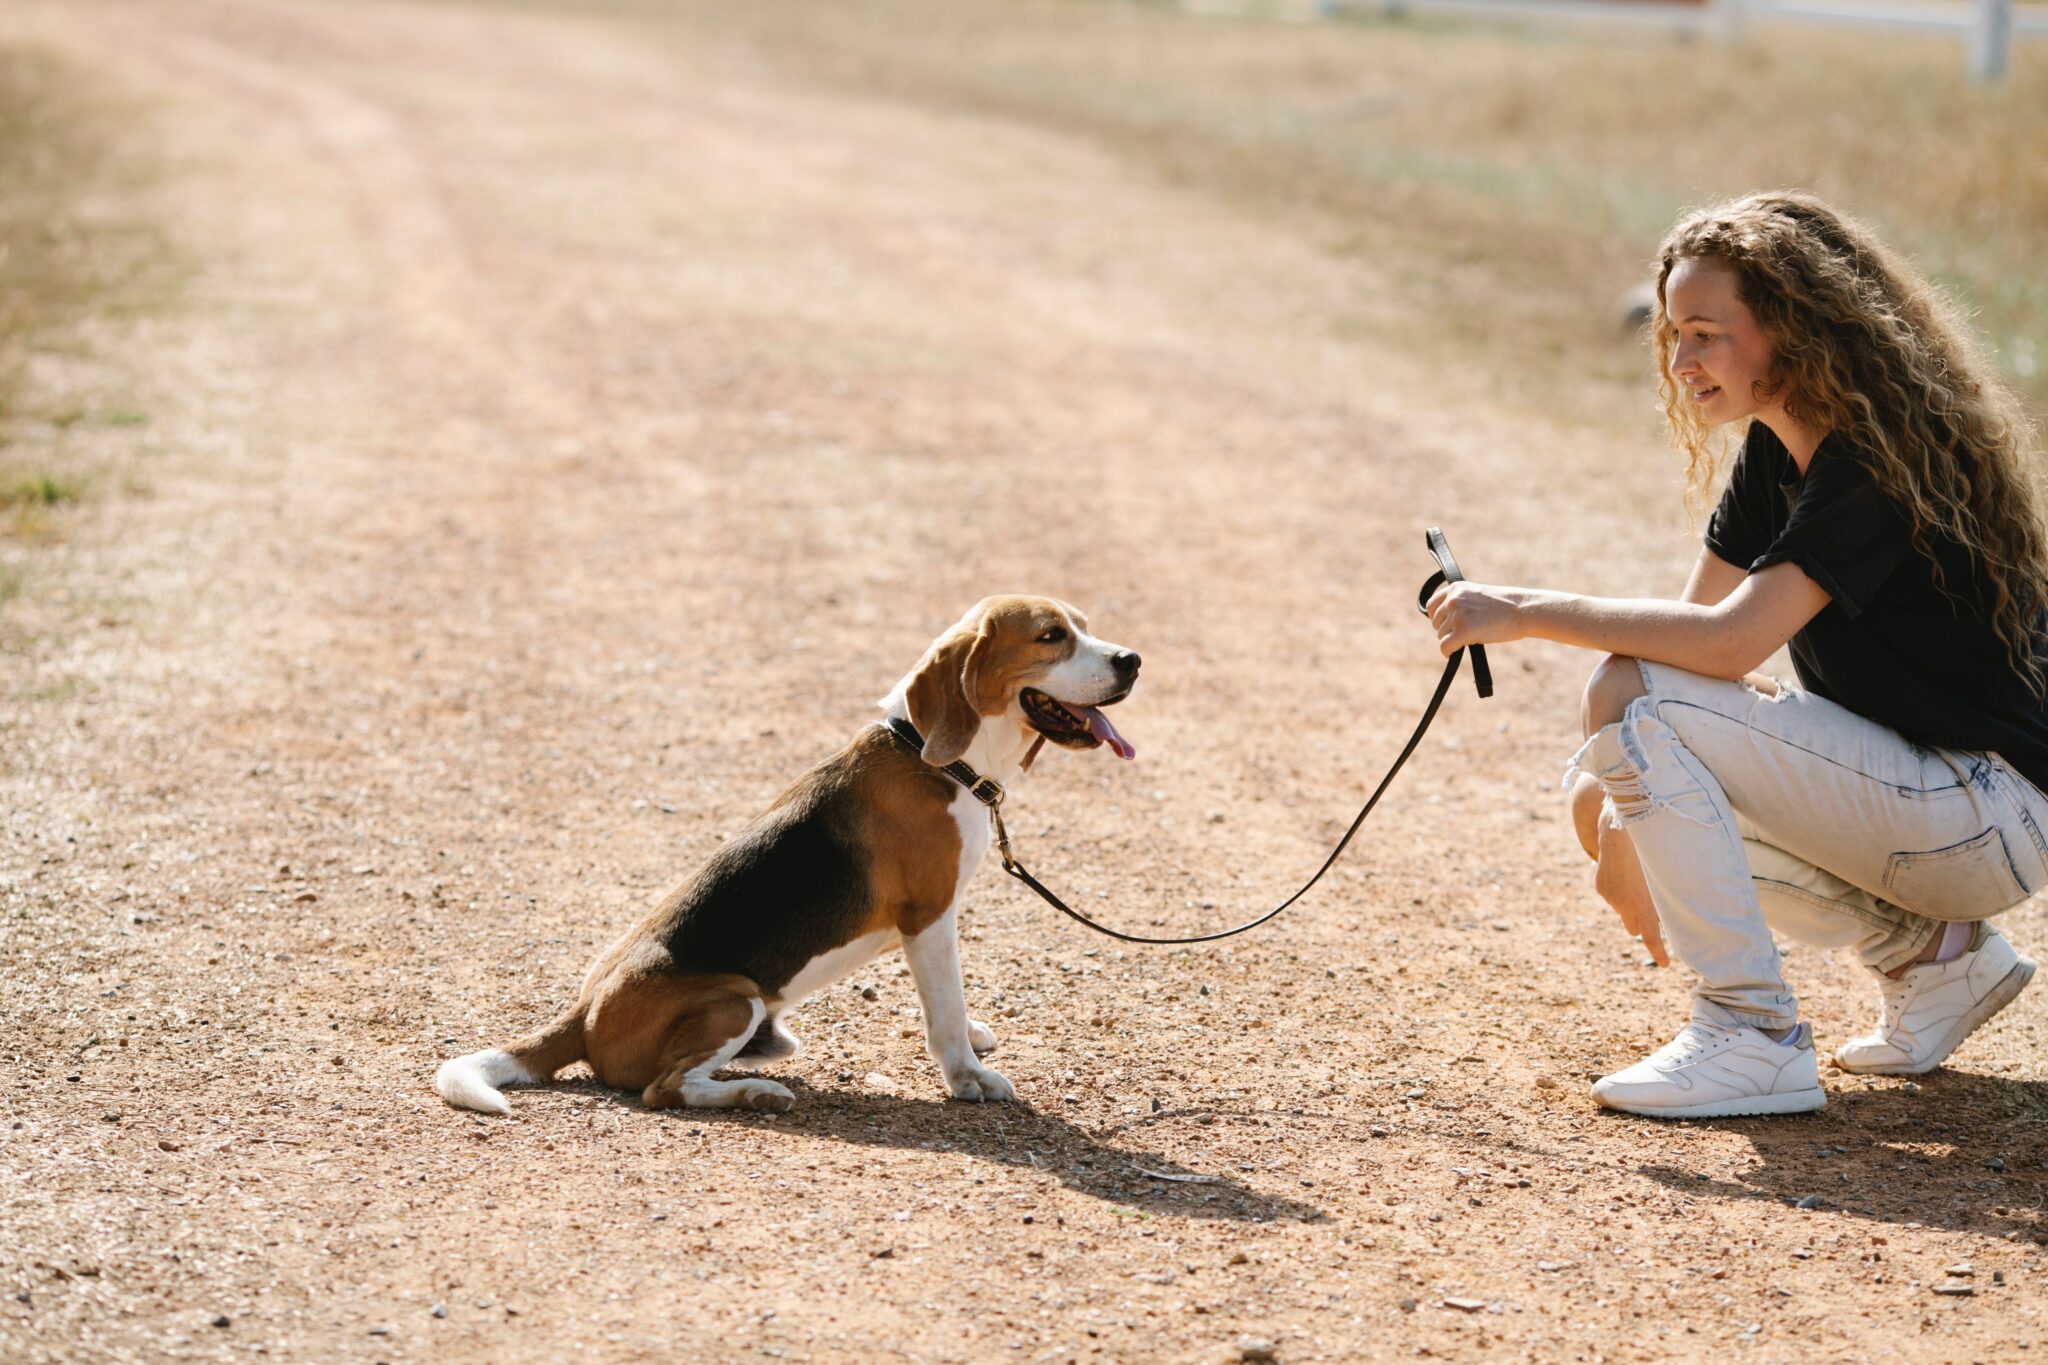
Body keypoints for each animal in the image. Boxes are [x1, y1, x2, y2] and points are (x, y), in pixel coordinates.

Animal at [436, 593, 1138, 1113]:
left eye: (1084, 627)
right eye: (1051, 636)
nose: (1132, 660)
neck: (934, 756)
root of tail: (580, 1017)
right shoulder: (929, 917)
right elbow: (946, 1005)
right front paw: (968, 1077)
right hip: (735, 1000)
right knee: (666, 1090)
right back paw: (755, 1094)